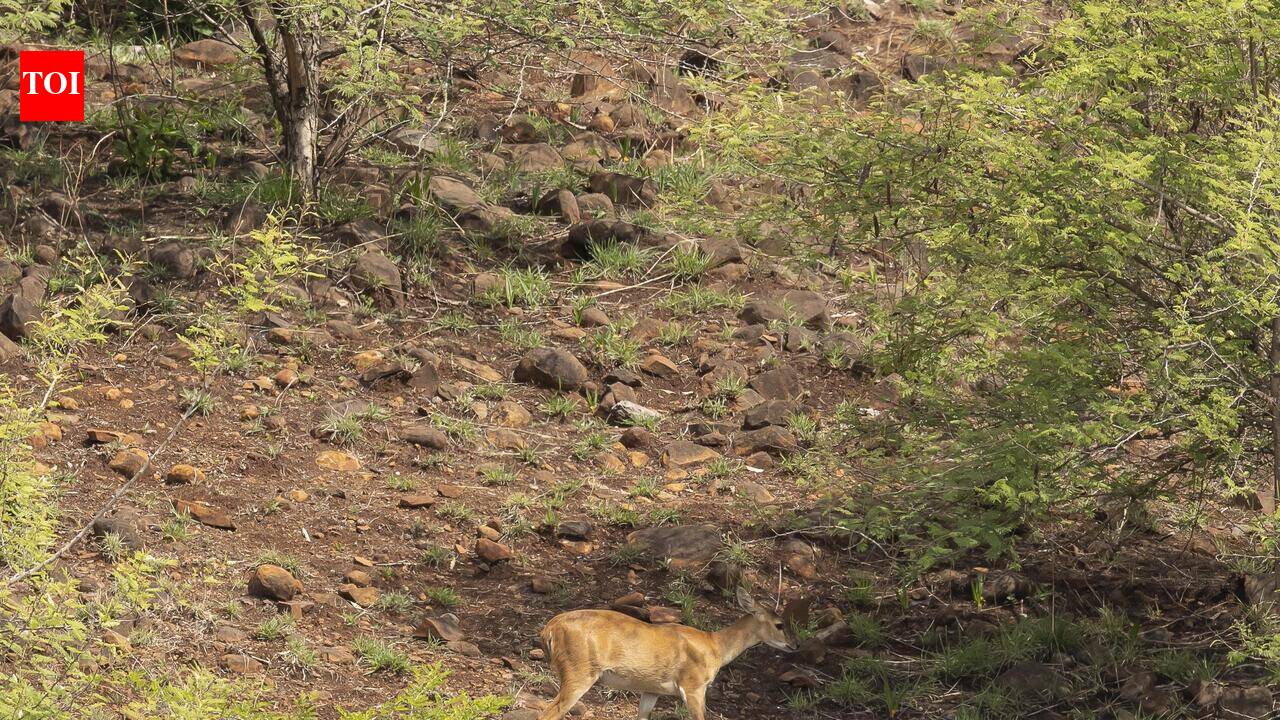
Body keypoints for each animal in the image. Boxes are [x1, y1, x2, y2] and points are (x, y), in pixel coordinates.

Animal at [536, 587, 795, 720]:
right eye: (780, 624)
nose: (794, 645)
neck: (715, 647)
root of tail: (549, 629)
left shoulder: (651, 690)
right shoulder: (693, 685)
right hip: (579, 670)